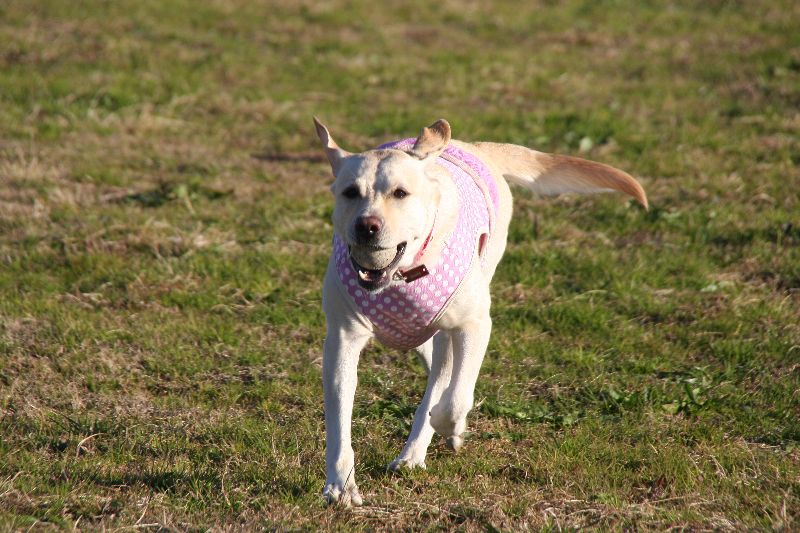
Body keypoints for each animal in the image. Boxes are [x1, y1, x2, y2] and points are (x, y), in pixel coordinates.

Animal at [314, 118, 647, 506]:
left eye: (400, 193)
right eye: (350, 192)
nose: (367, 226)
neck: (400, 278)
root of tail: (475, 146)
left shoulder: (473, 325)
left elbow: (455, 397)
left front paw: (451, 426)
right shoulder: (342, 339)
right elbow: (339, 415)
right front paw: (340, 487)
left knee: (443, 378)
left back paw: (418, 448)